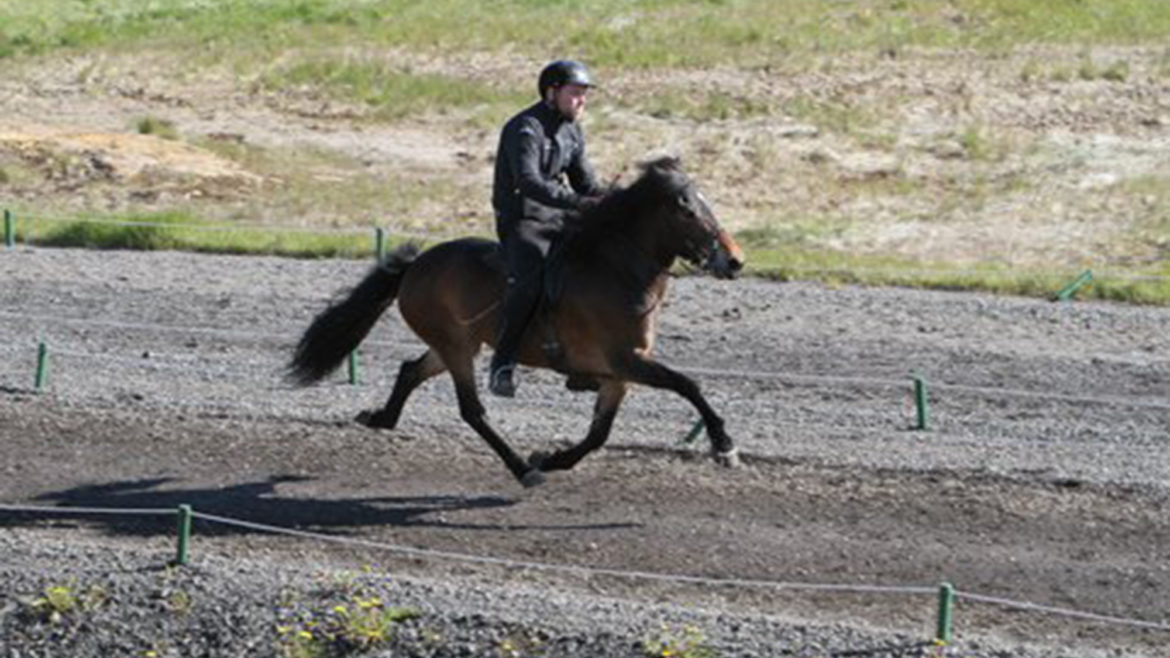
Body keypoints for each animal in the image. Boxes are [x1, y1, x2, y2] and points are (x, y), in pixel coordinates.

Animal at [288, 158, 744, 487]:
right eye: (686, 210)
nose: (735, 260)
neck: (616, 272)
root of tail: (416, 265)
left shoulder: (619, 375)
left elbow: (599, 434)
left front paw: (553, 457)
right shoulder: (626, 360)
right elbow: (688, 384)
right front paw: (724, 445)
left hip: (456, 344)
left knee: (410, 370)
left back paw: (382, 418)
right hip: (457, 349)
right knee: (472, 411)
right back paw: (521, 469)